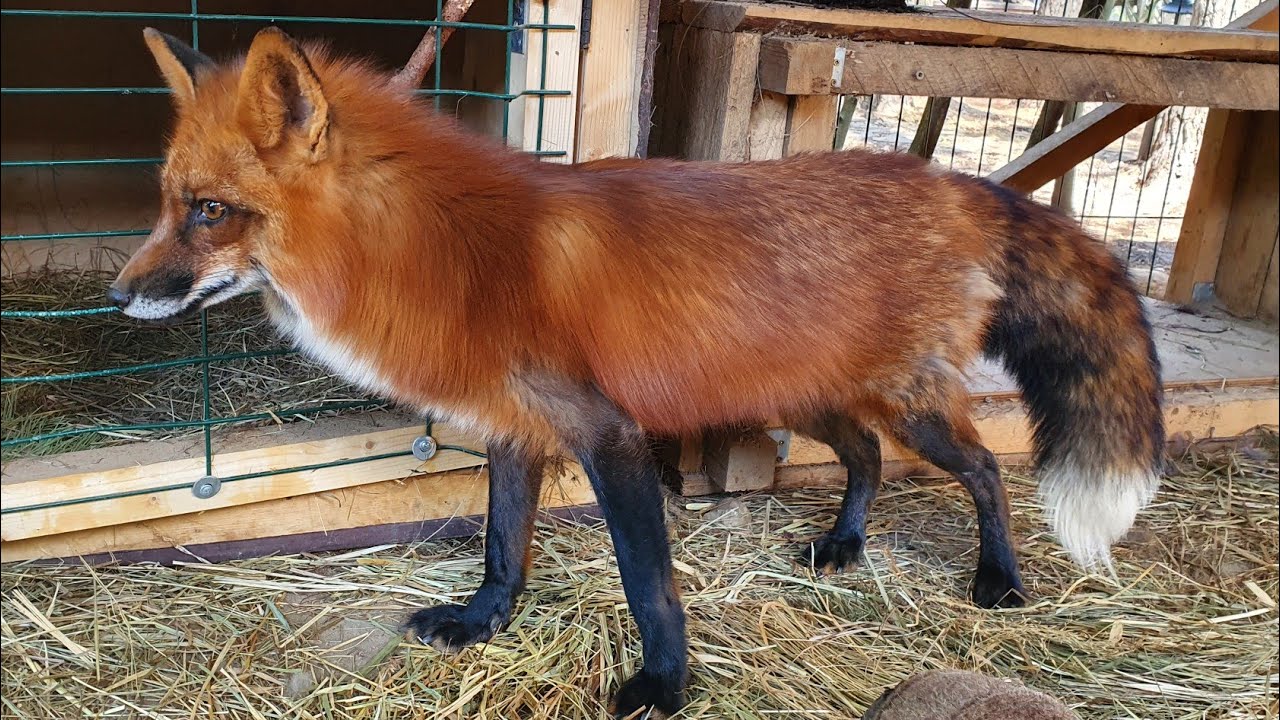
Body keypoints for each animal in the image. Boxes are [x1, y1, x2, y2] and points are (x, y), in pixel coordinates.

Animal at [109, 26, 1165, 717]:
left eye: (209, 211)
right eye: (166, 204)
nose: (117, 297)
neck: (446, 256)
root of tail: (955, 183)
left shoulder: (609, 434)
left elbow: (647, 579)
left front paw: (663, 684)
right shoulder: (516, 426)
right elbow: (503, 547)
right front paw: (481, 625)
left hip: (913, 411)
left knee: (984, 470)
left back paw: (999, 578)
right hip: (815, 398)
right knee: (864, 459)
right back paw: (843, 545)